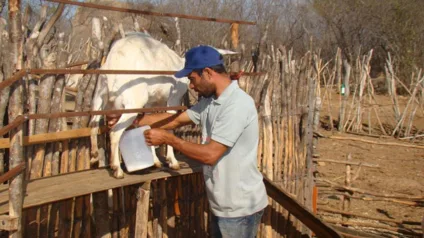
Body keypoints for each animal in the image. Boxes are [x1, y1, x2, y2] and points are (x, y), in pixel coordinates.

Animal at [90, 33, 189, 178]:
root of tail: (114, 61)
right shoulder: (173, 99)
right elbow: (170, 126)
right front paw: (173, 162)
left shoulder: (151, 103)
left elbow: (150, 126)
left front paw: (156, 162)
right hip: (133, 103)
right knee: (114, 132)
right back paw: (117, 169)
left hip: (99, 97)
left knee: (93, 124)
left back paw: (94, 157)